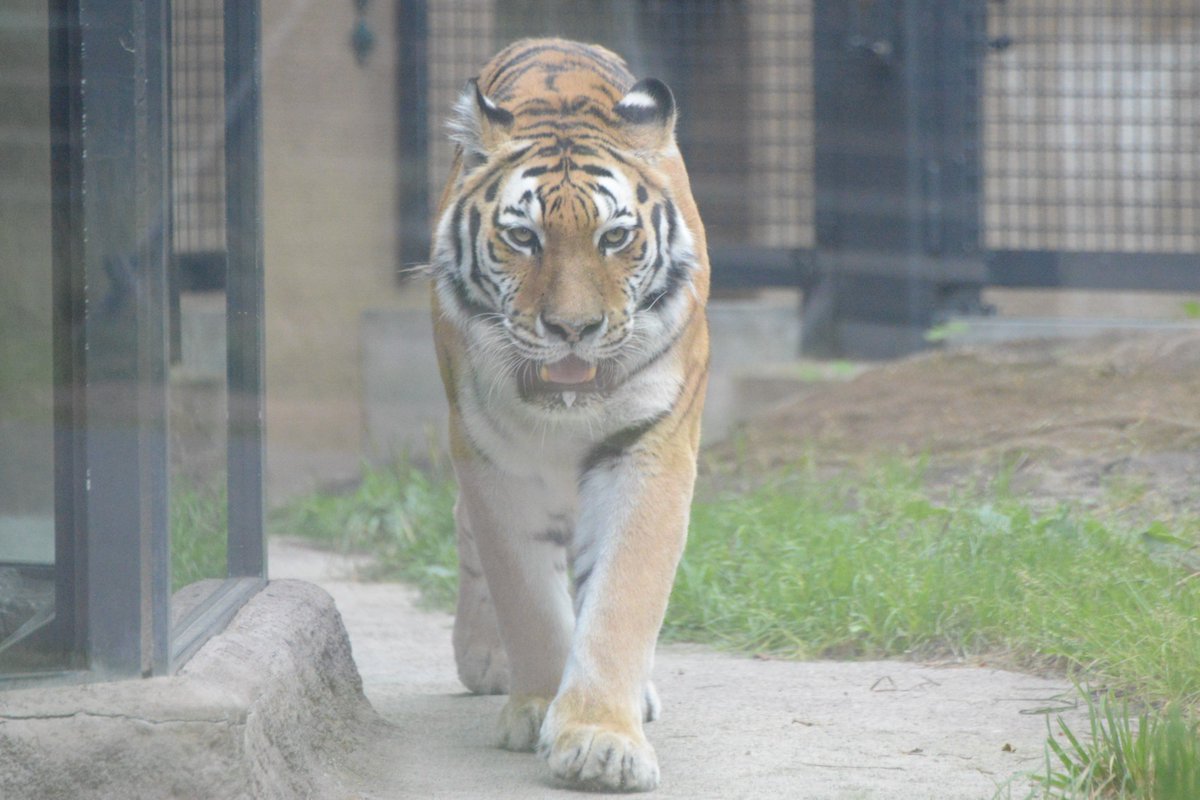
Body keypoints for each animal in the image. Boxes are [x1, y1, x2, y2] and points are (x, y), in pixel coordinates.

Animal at [427, 34, 705, 791]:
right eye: (524, 238)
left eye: (614, 239)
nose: (573, 329)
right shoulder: (492, 458)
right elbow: (524, 593)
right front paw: (536, 705)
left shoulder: (649, 445)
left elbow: (621, 595)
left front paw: (600, 741)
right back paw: (485, 661)